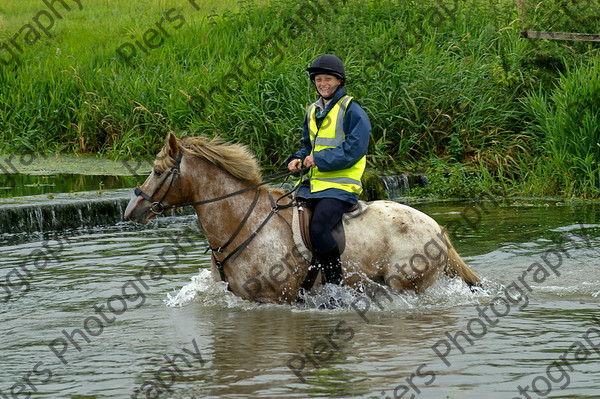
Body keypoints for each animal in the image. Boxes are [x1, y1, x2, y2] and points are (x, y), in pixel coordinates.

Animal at [124, 133, 480, 304]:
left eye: (158, 171)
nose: (131, 210)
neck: (243, 222)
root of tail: (438, 228)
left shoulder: (276, 300)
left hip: (407, 285)